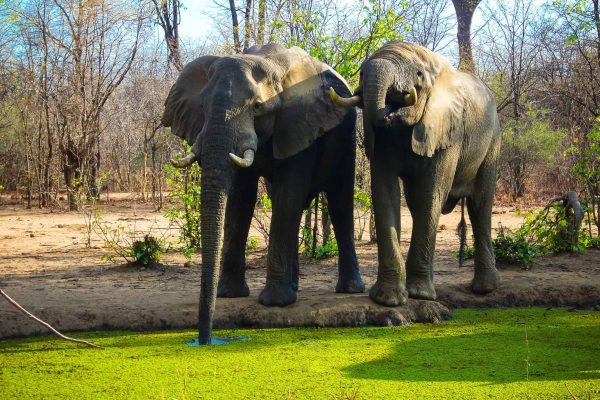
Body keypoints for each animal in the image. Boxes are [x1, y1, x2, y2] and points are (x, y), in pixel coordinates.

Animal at [162, 43, 364, 344]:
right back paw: (294, 288)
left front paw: (275, 303)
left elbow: (287, 195)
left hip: (347, 131)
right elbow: (240, 201)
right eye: (203, 105)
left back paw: (349, 290)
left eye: (258, 107)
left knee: (339, 203)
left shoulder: (299, 120)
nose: (205, 341)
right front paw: (230, 295)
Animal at [330, 41, 500, 306]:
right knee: (416, 201)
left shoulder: (448, 131)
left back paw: (484, 289)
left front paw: (419, 295)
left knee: (480, 204)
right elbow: (385, 192)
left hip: (493, 141)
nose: (392, 108)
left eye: (419, 75)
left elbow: (431, 193)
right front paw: (388, 299)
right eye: (361, 72)